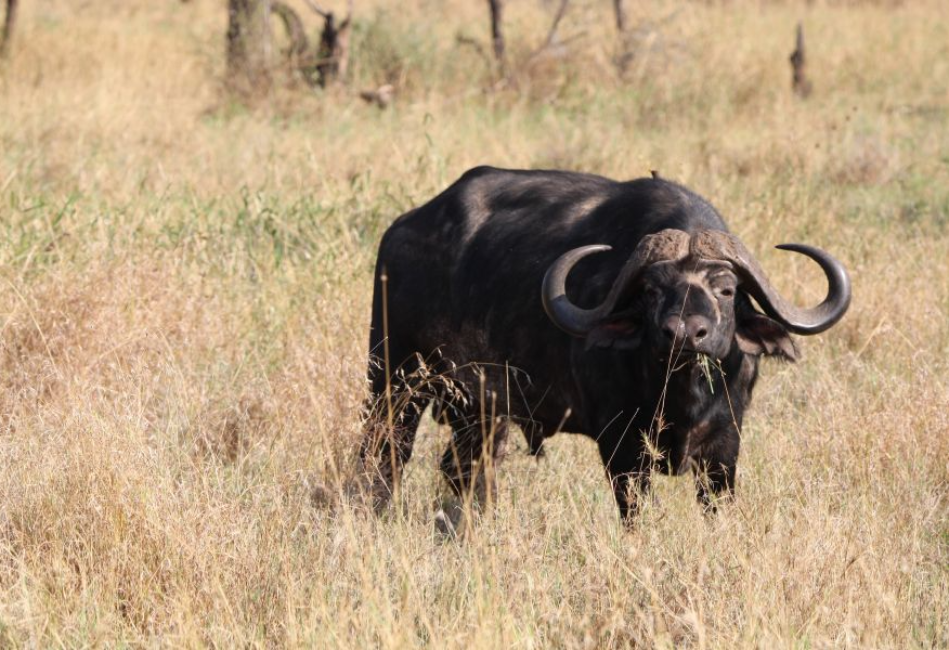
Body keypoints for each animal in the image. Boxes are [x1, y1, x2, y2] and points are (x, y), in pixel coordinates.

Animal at [358, 166, 851, 523]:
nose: (683, 334)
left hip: (478, 409)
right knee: (384, 454)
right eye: (650, 290)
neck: (678, 394)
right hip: (393, 377)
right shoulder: (622, 446)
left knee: (465, 469)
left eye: (727, 290)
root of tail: (403, 230)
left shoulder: (724, 445)